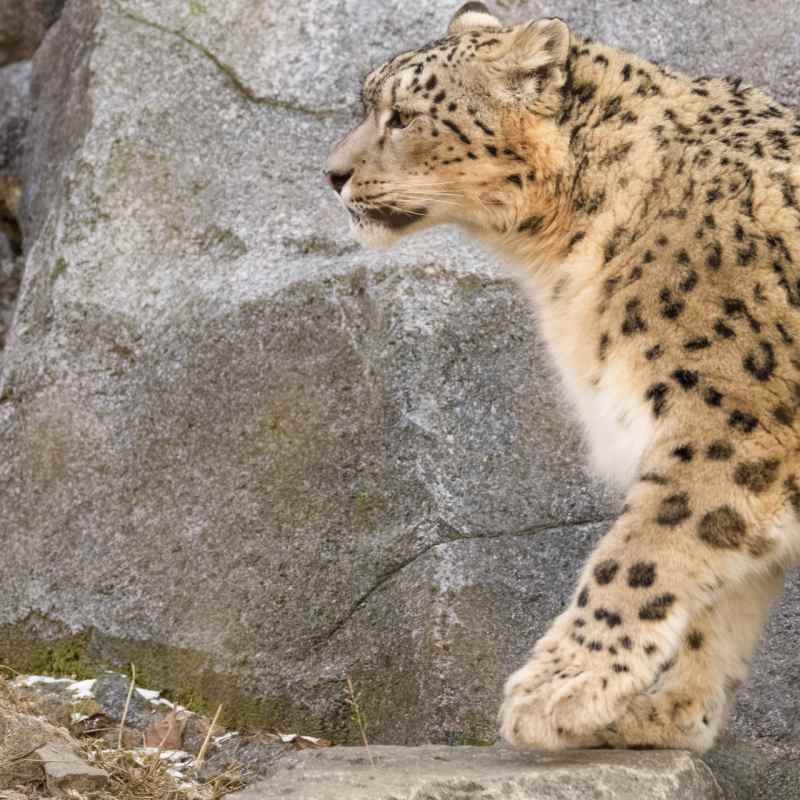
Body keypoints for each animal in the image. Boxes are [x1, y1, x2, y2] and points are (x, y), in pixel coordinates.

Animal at [325, 1, 800, 752]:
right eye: (370, 105)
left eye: (402, 115)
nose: (332, 174)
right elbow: (718, 594)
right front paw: (665, 714)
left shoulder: (727, 422)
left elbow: (641, 554)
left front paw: (557, 690)